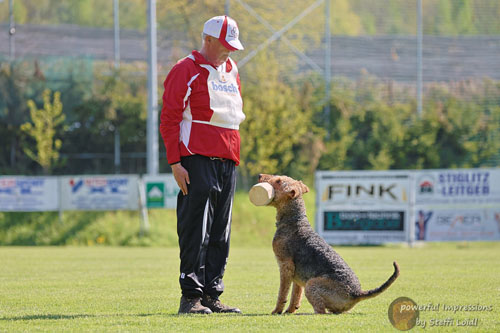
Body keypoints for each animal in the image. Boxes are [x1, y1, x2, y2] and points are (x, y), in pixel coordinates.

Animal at [260, 174, 400, 314]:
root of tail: (356, 293)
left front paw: (277, 311)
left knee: (321, 310)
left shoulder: (285, 265)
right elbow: (295, 295)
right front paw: (290, 310)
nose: (260, 175)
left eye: (278, 181)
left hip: (311, 284)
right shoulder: (297, 274)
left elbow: (282, 293)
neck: (294, 220)